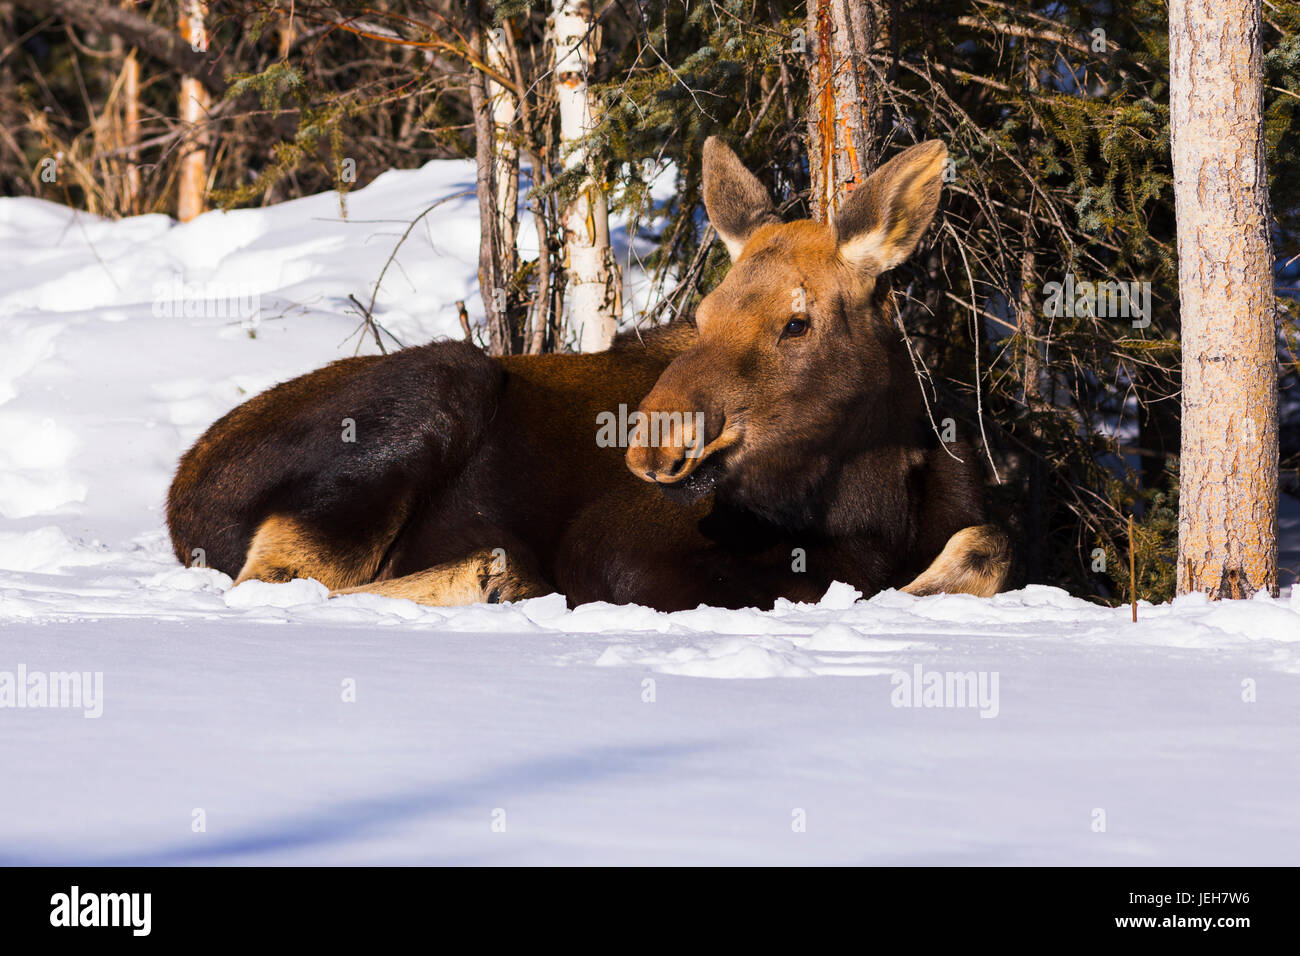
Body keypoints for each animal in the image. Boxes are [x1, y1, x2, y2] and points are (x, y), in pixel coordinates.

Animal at [167, 136, 1008, 613]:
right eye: (702, 314)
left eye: (797, 323)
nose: (654, 445)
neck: (866, 499)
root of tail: (180, 499)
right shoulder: (618, 550)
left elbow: (985, 546)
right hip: (443, 384)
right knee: (282, 579)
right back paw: (489, 576)